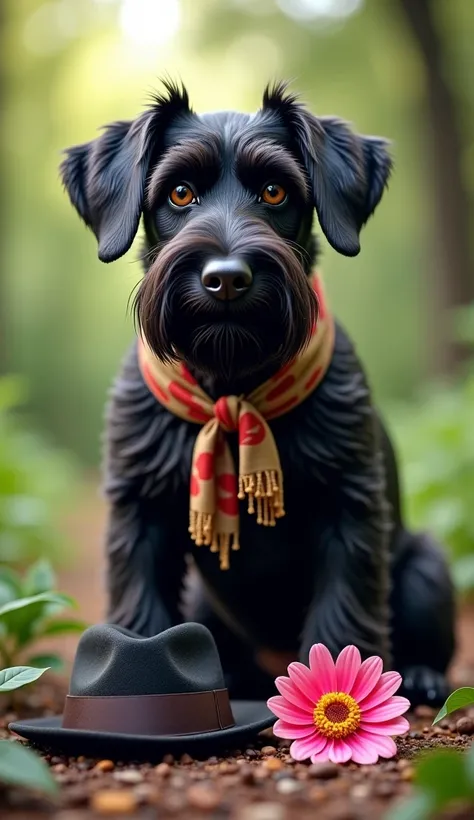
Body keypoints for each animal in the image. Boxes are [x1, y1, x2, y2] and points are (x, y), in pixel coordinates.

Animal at [60, 81, 456, 704]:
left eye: (275, 190)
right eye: (179, 192)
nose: (225, 278)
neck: (233, 384)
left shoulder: (348, 507)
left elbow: (343, 616)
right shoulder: (138, 511)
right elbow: (142, 613)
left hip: (426, 565)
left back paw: (419, 675)